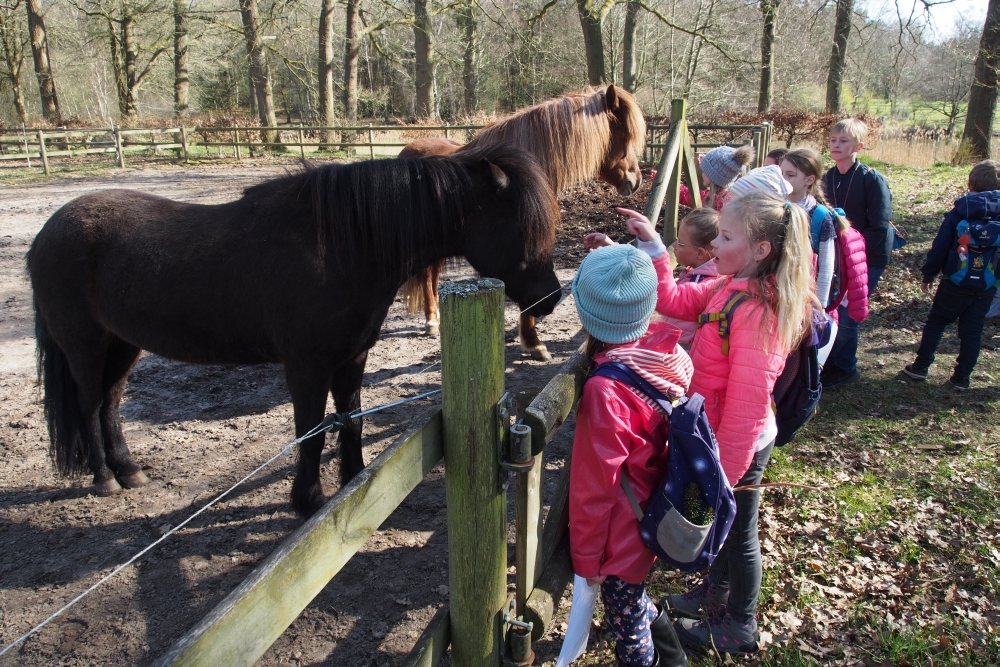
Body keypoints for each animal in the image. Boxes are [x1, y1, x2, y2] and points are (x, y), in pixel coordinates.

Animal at [29, 149, 564, 520]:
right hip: (85, 345)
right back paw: (104, 479)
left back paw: (128, 470)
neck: (342, 249)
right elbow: (311, 432)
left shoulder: (352, 357)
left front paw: (354, 481)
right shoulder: (306, 365)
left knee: (110, 404)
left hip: (124, 345)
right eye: (522, 226)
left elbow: (351, 420)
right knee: (89, 404)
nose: (552, 298)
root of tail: (47, 232)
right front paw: (307, 500)